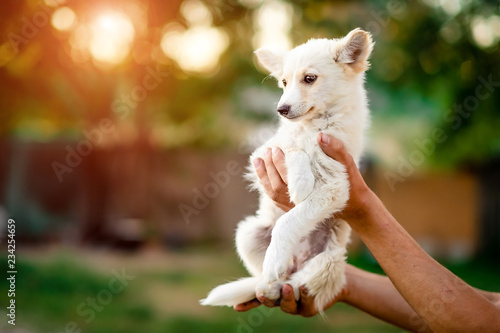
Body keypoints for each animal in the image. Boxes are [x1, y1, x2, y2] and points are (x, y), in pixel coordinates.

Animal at [201, 28, 374, 312]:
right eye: (283, 82)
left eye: (309, 79)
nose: (281, 110)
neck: (315, 124)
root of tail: (297, 261)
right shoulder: (261, 155)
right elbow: (293, 148)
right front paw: (301, 181)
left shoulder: (337, 185)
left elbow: (289, 220)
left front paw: (299, 186)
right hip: (247, 233)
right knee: (275, 276)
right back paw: (267, 286)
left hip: (329, 262)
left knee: (296, 282)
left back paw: (279, 284)